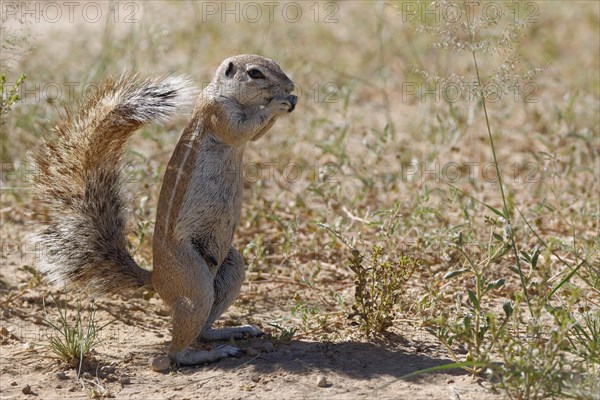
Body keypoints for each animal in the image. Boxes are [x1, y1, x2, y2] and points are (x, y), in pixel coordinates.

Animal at [30, 55, 298, 366]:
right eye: (255, 73)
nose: (290, 86)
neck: (229, 95)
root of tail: (156, 278)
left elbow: (255, 135)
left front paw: (289, 99)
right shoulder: (219, 114)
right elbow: (245, 128)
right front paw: (277, 103)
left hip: (230, 268)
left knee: (203, 329)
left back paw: (233, 331)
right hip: (194, 282)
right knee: (172, 355)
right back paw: (211, 353)